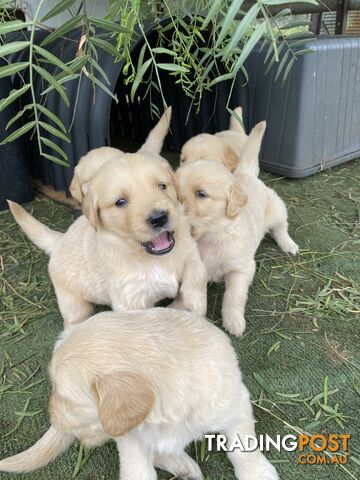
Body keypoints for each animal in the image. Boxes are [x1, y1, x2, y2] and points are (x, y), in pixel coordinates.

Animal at [0, 308, 278, 480]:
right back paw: (184, 465)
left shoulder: (235, 404)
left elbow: (243, 447)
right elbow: (138, 468)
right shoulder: (129, 438)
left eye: (67, 398)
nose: (52, 415)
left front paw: (258, 474)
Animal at [177, 122, 298, 336]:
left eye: (201, 194)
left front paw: (233, 321)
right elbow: (194, 283)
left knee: (281, 227)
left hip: (277, 208)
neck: (211, 237)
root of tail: (244, 173)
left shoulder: (242, 268)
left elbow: (234, 295)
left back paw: (288, 244)